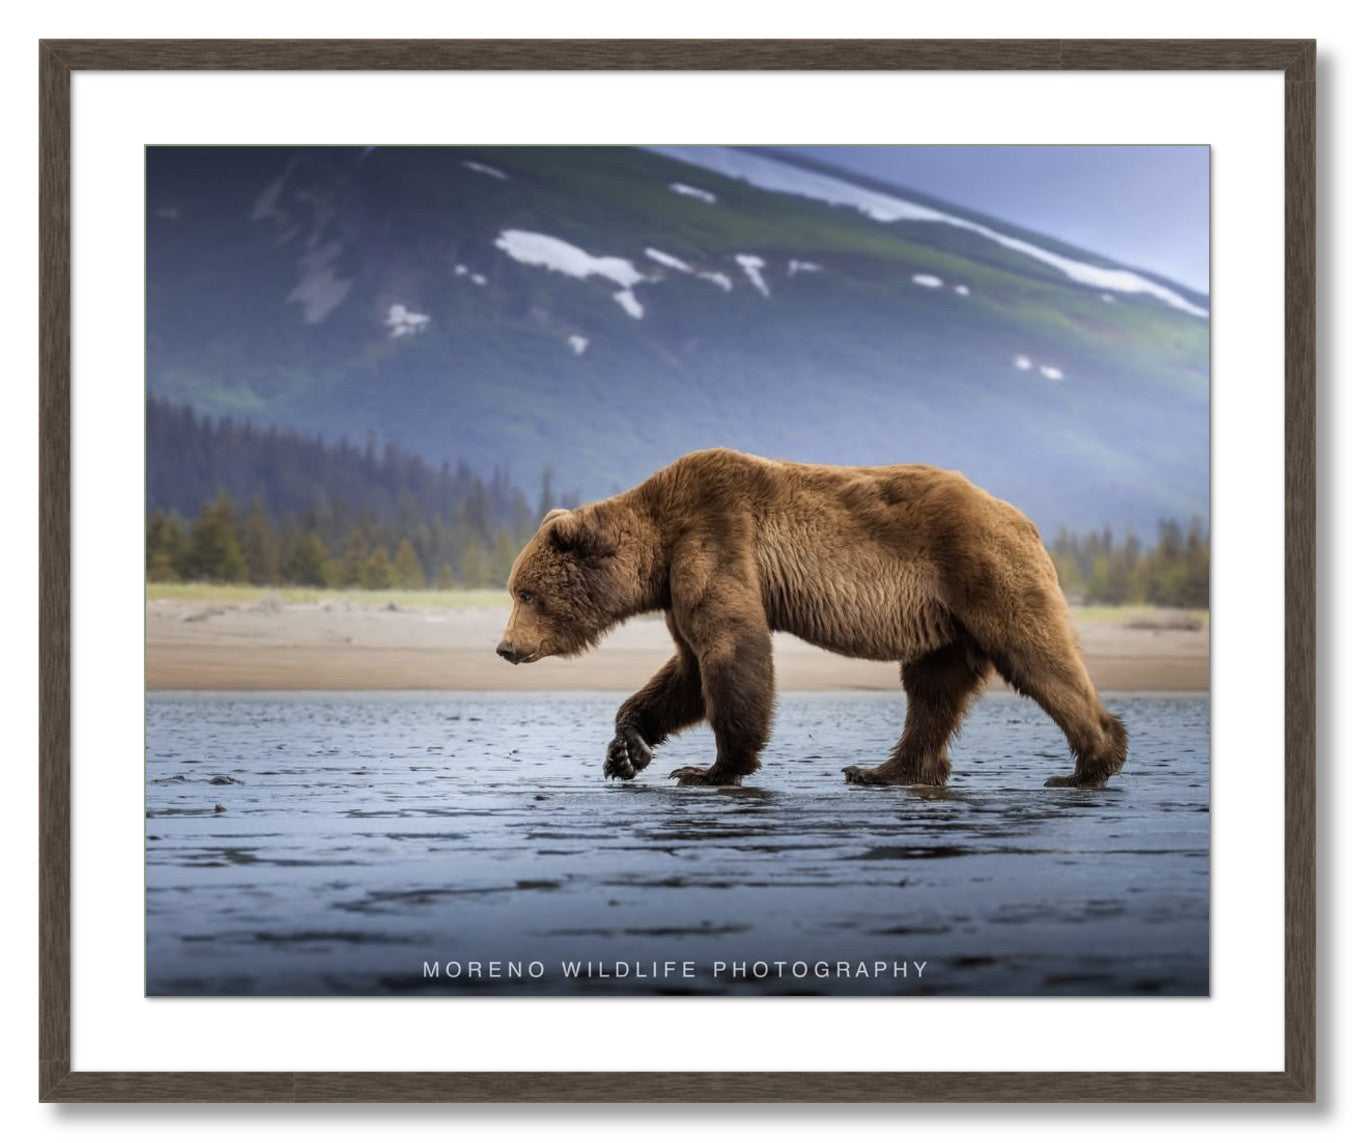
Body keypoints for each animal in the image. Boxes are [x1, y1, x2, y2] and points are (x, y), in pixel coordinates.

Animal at [496, 448, 1127, 789]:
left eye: (525, 593)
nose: (504, 648)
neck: (658, 544)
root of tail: (1023, 518)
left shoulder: (715, 536)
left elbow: (731, 651)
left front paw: (711, 768)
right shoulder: (678, 583)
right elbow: (687, 669)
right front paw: (627, 750)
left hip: (983, 572)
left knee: (1036, 655)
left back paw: (1091, 763)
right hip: (946, 620)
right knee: (932, 689)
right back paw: (884, 770)